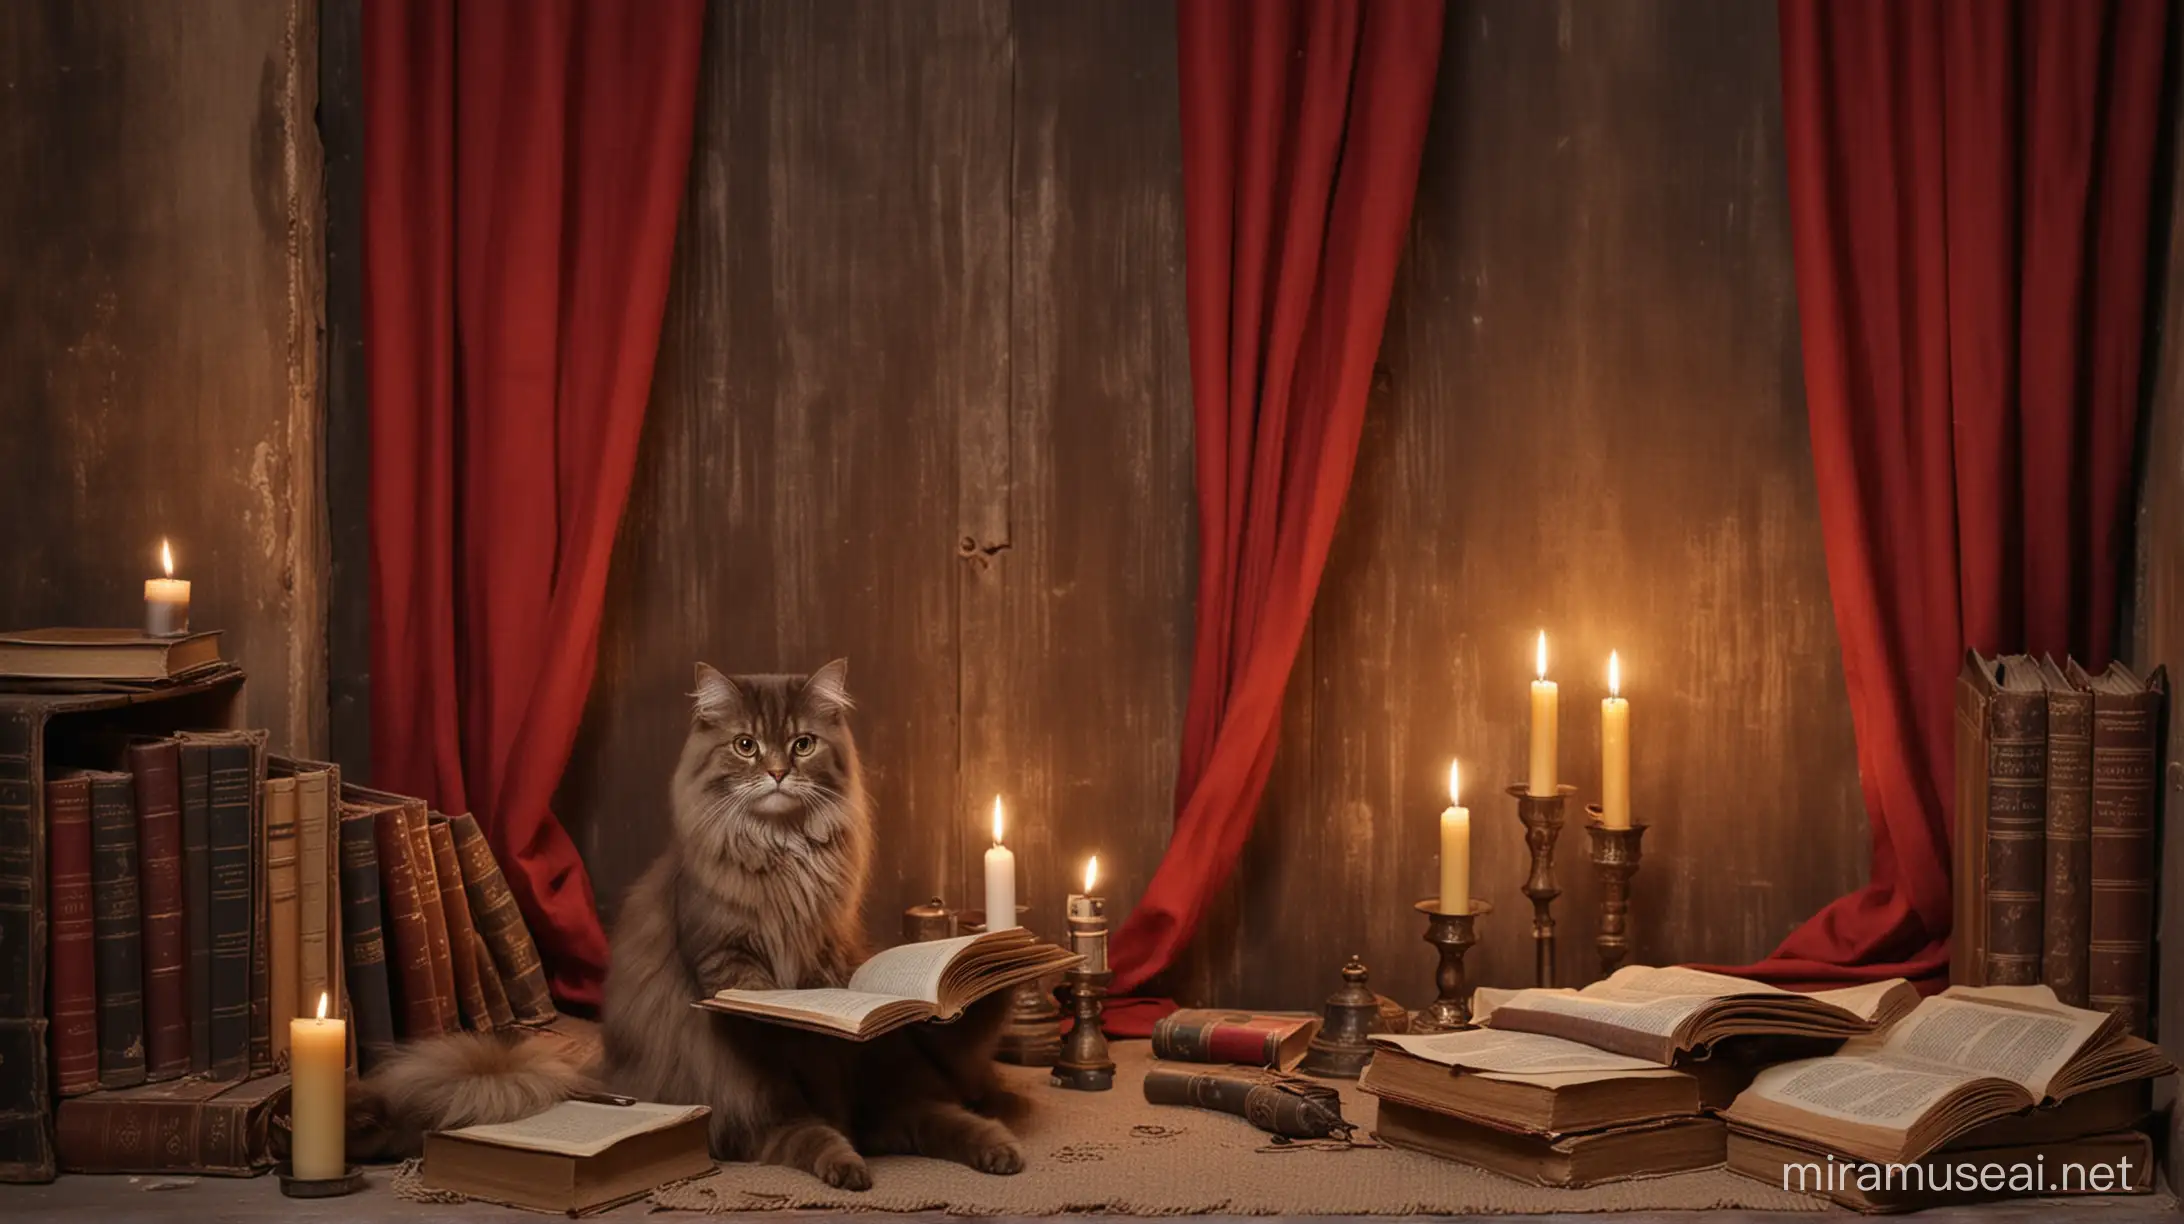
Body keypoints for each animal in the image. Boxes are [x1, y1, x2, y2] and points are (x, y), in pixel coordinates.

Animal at [360, 660, 1030, 1189]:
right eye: (746, 746)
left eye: (803, 744)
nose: (779, 772)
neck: (782, 848)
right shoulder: (729, 964)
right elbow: (774, 1011)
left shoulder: (828, 955)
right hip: (750, 1094)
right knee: (798, 1135)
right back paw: (850, 1167)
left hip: (885, 1090)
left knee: (939, 1116)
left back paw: (998, 1144)